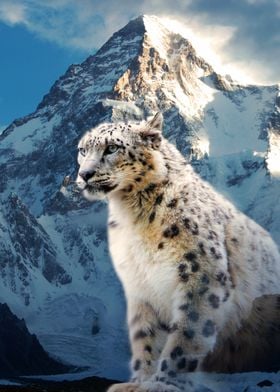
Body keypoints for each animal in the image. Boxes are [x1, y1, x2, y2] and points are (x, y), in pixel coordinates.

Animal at [76, 112, 280, 390]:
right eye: (82, 150)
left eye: (112, 148)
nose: (84, 174)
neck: (134, 217)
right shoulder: (140, 286)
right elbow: (145, 336)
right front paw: (139, 381)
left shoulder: (201, 276)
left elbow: (187, 333)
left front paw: (164, 382)